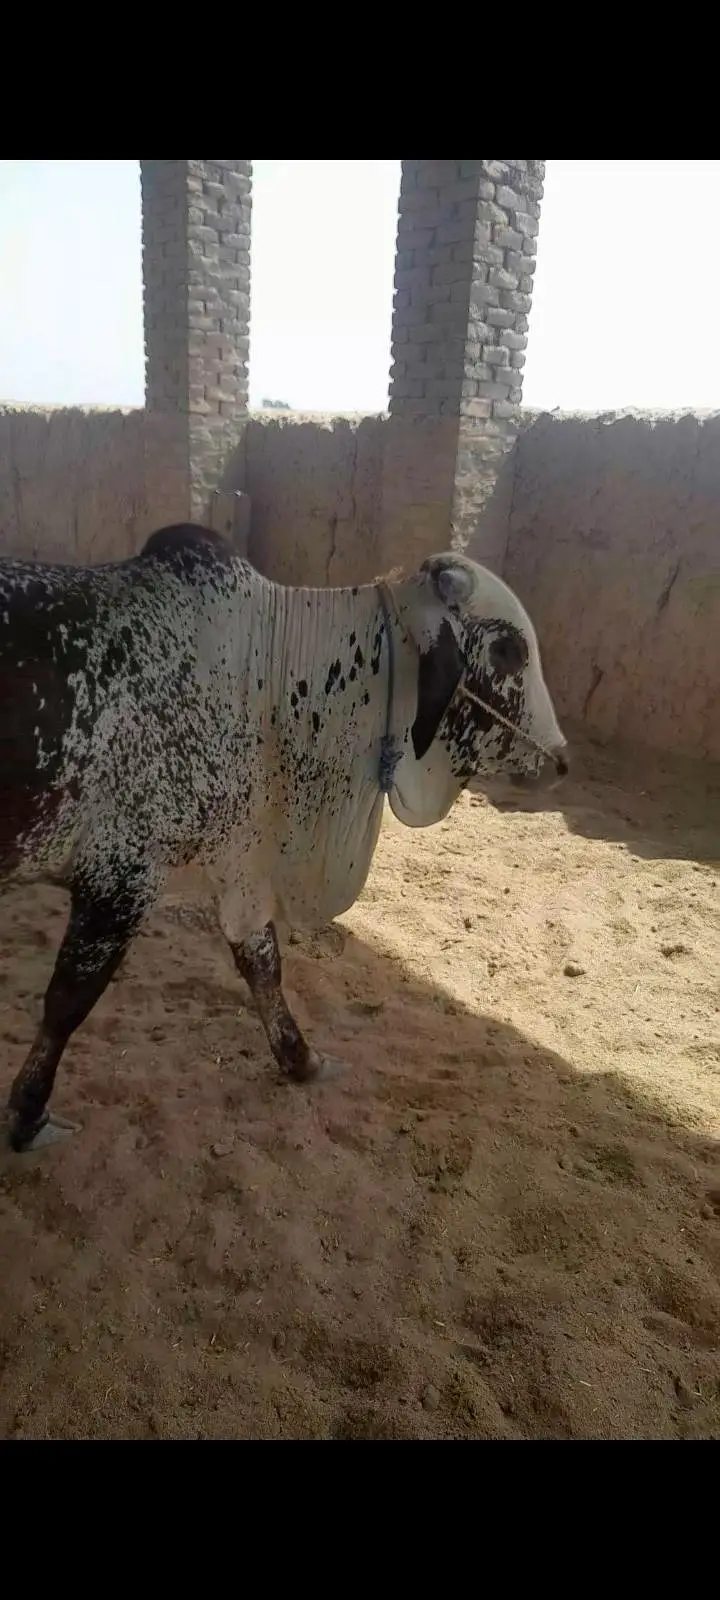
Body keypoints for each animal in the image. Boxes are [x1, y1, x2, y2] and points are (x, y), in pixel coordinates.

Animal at [0, 524, 567, 1153]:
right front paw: (28, 1114)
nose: (560, 758)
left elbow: (263, 965)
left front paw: (303, 1059)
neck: (270, 673)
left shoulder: (243, 864)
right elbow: (68, 1000)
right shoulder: (120, 871)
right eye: (508, 649)